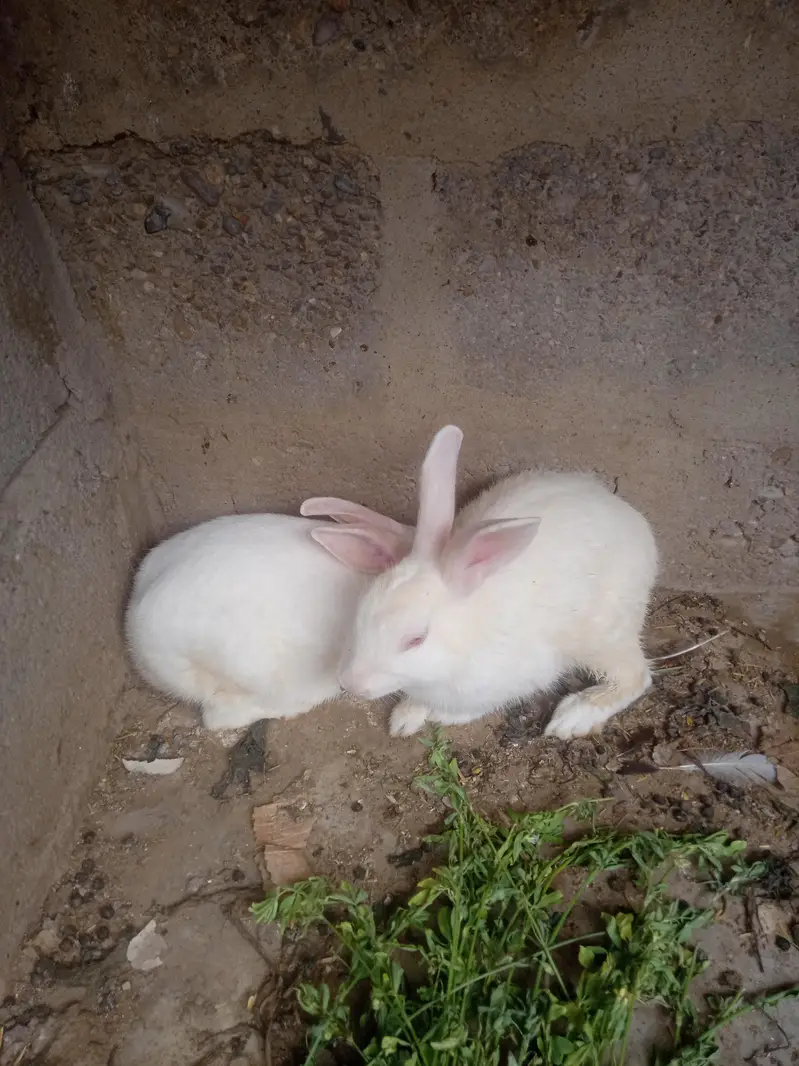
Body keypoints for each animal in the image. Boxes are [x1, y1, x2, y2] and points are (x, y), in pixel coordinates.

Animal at [311, 426, 658, 741]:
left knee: (636, 676)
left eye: (416, 640)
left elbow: (475, 707)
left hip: (603, 633)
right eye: (360, 614)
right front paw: (406, 717)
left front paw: (439, 716)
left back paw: (573, 718)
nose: (351, 684)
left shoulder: (519, 677)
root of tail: (634, 521)